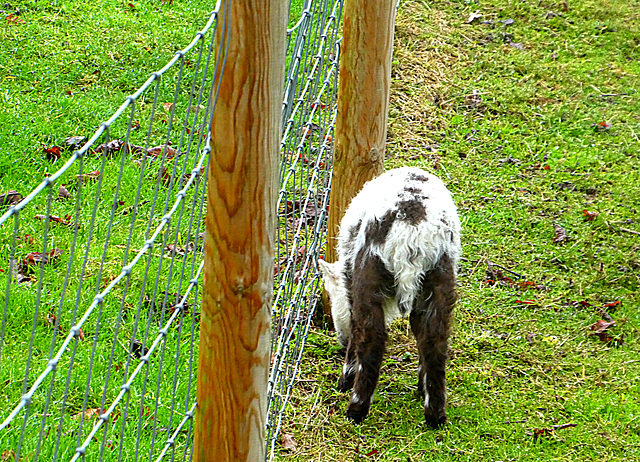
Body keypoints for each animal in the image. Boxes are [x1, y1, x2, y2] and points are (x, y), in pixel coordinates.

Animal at [318, 165, 460, 426]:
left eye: (332, 296)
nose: (340, 339)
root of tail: (412, 230)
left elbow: (356, 330)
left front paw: (345, 380)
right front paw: (420, 386)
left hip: (369, 270)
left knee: (370, 336)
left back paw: (356, 408)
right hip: (439, 274)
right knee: (434, 338)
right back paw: (434, 414)